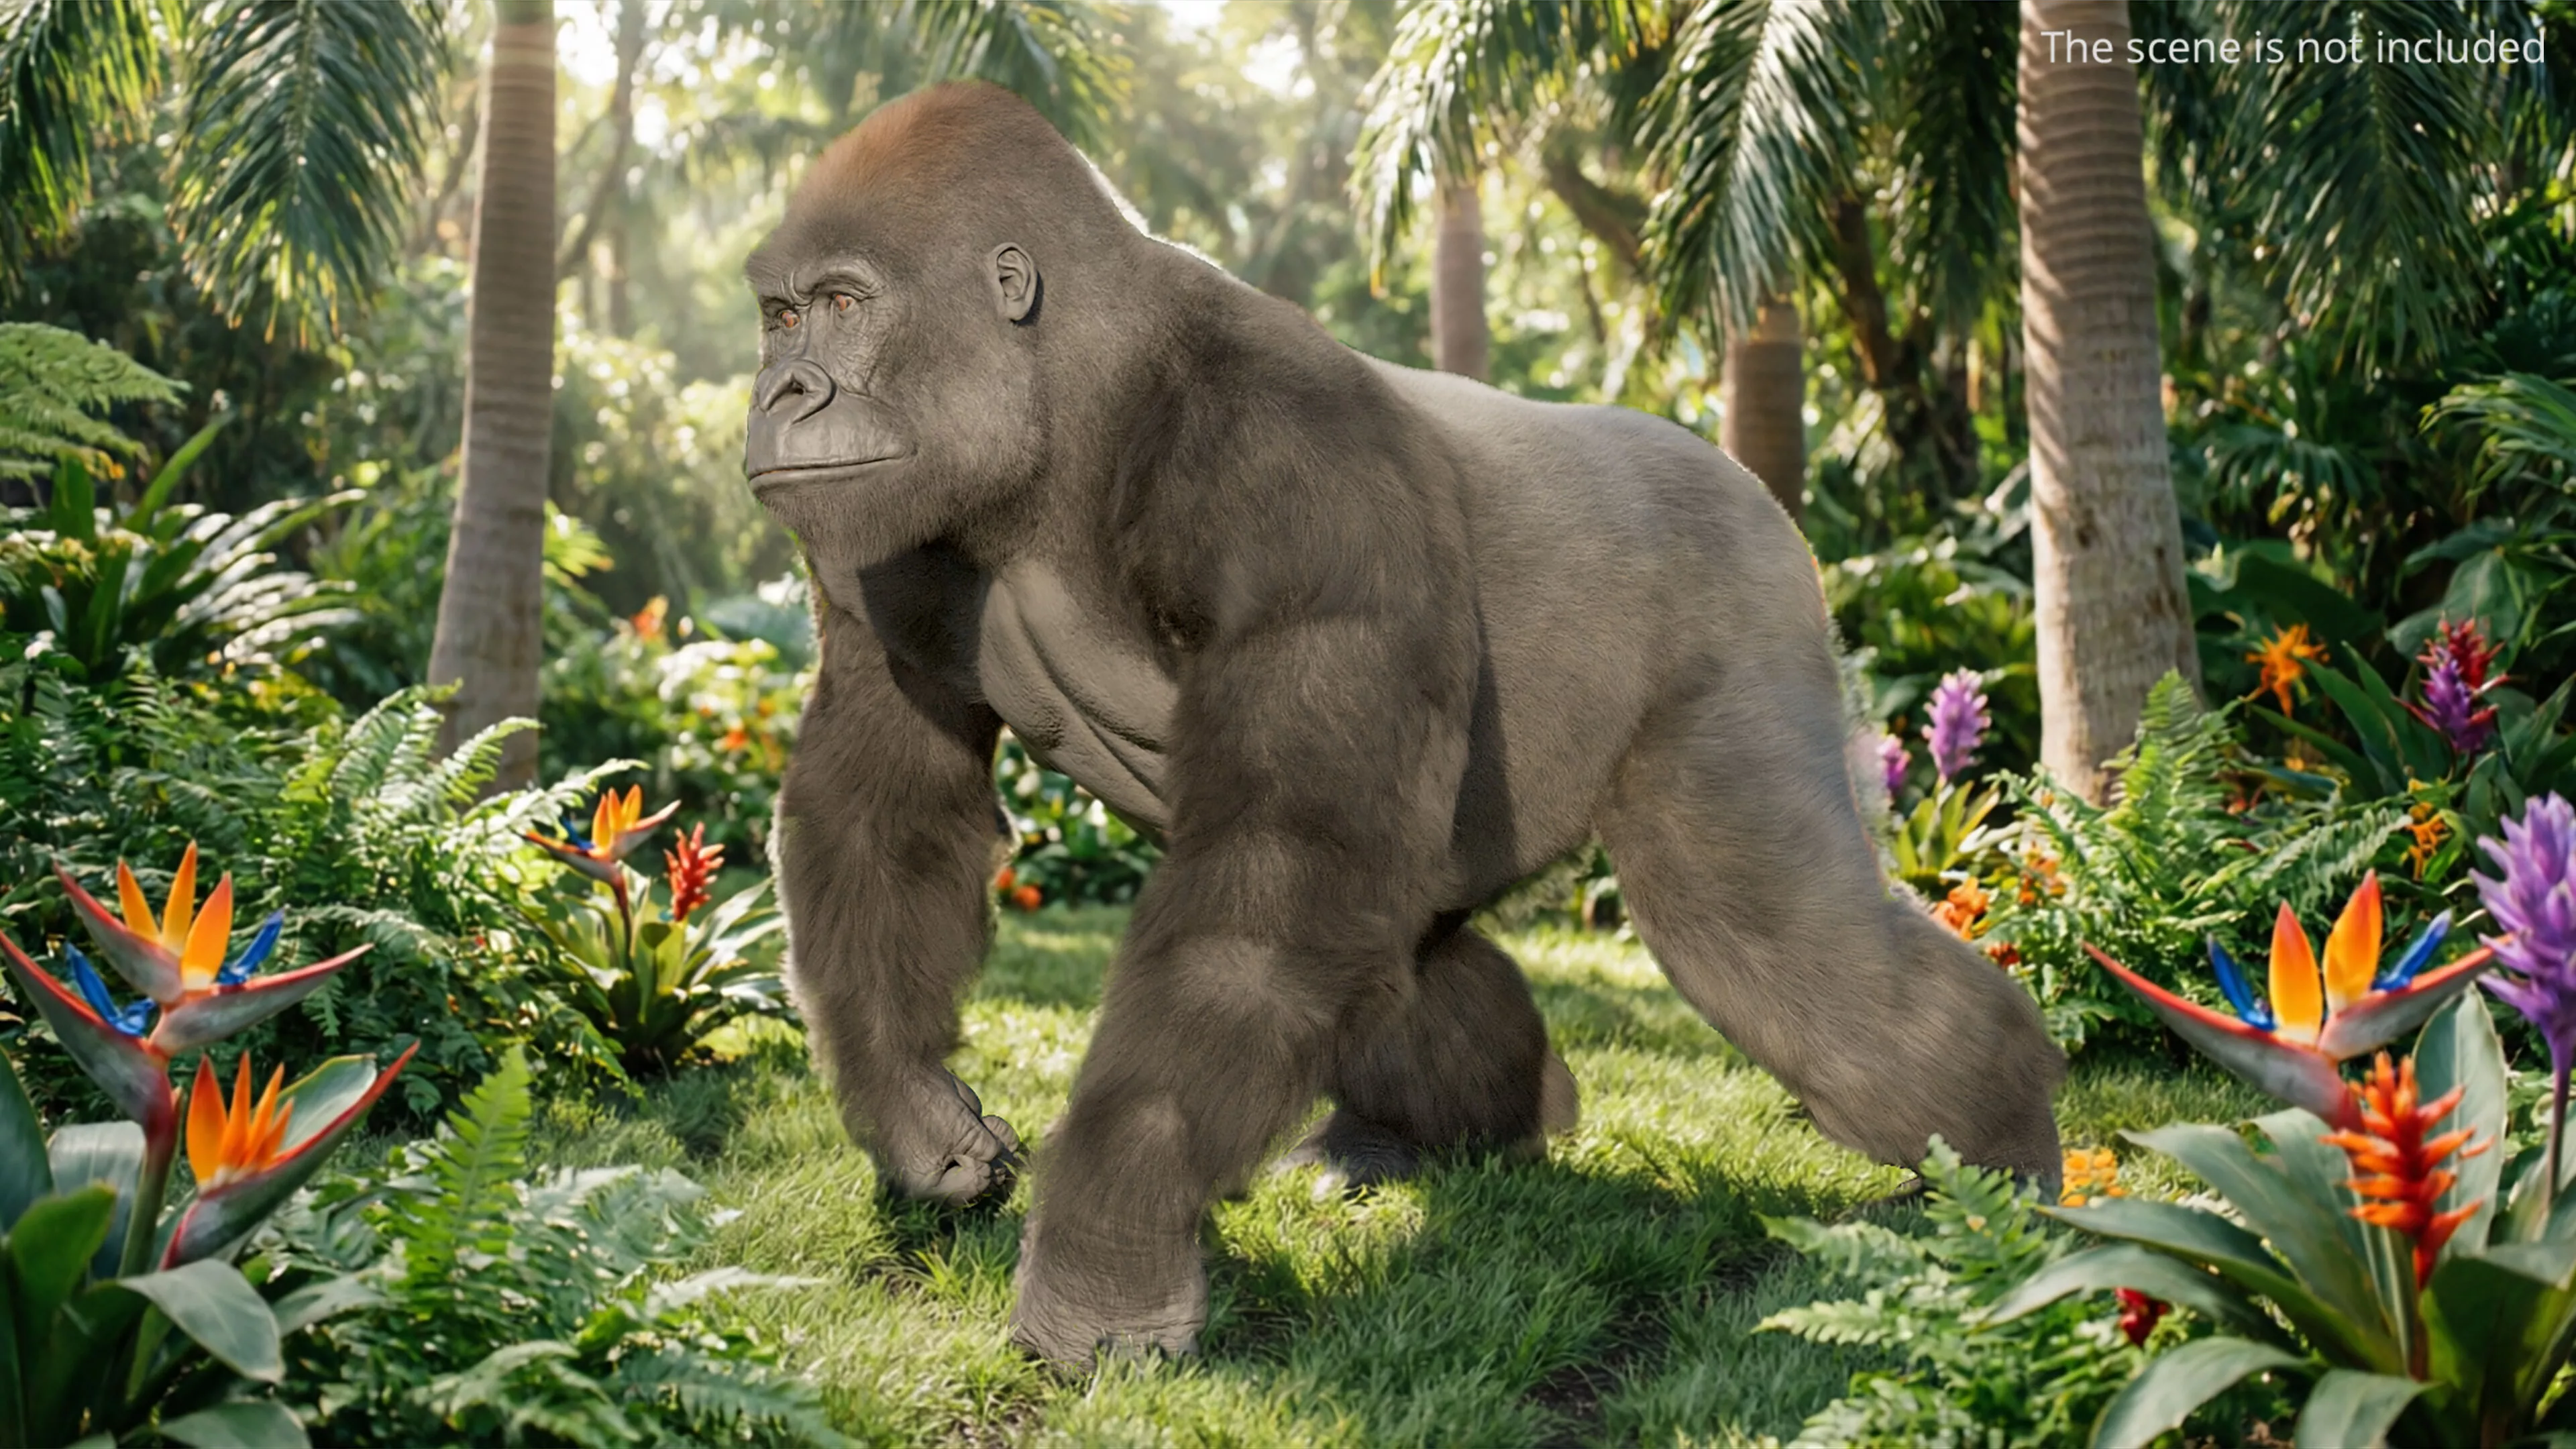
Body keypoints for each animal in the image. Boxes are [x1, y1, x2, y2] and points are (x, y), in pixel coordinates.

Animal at [742, 81, 2064, 1367]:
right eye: (779, 317)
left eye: (843, 306)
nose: (782, 394)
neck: (1070, 396)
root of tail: (1747, 483)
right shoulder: (883, 536)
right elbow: (886, 811)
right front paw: (914, 1110)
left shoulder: (1295, 472)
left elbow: (1272, 885)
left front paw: (1105, 1255)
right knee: (1413, 957)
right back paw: (1465, 1124)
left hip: (1744, 589)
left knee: (1764, 933)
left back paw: (1997, 1156)